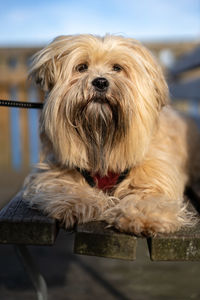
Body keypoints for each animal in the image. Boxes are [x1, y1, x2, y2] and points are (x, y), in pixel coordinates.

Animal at [23, 34, 200, 237]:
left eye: (117, 68)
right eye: (81, 67)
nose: (100, 82)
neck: (103, 138)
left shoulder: (155, 175)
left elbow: (148, 196)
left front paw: (141, 215)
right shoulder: (59, 170)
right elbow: (64, 185)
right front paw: (78, 201)